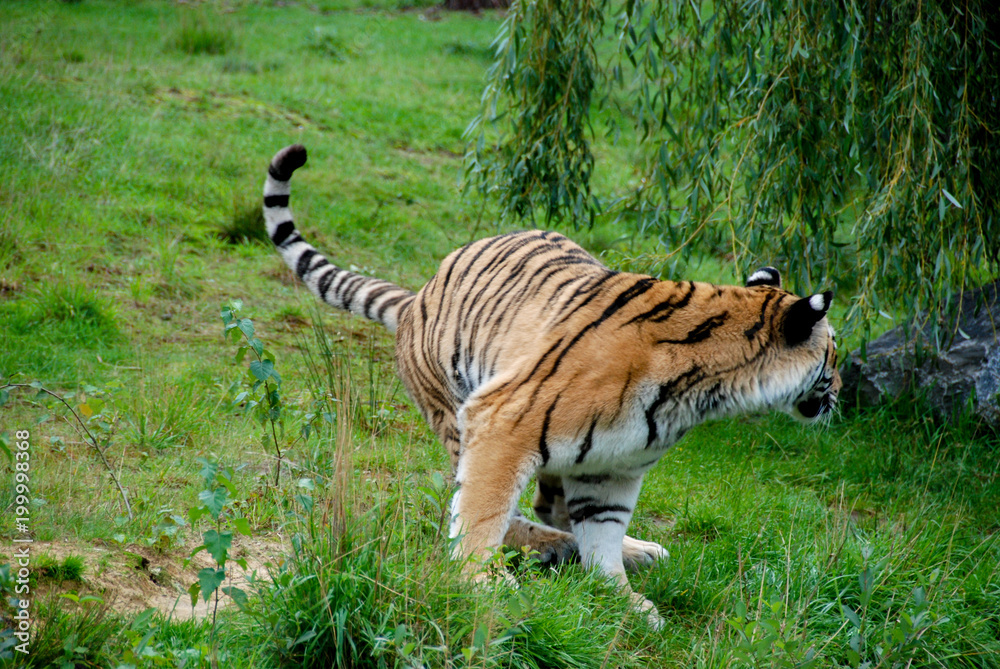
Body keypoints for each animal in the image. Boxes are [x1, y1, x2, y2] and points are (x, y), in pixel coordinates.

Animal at [262, 144, 840, 628]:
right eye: (834, 356)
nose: (838, 392)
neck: (704, 389)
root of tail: (416, 295)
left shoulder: (612, 467)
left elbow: (601, 535)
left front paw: (623, 598)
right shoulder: (504, 420)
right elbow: (482, 511)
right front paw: (480, 583)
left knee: (547, 509)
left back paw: (632, 550)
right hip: (457, 413)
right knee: (497, 509)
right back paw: (548, 550)